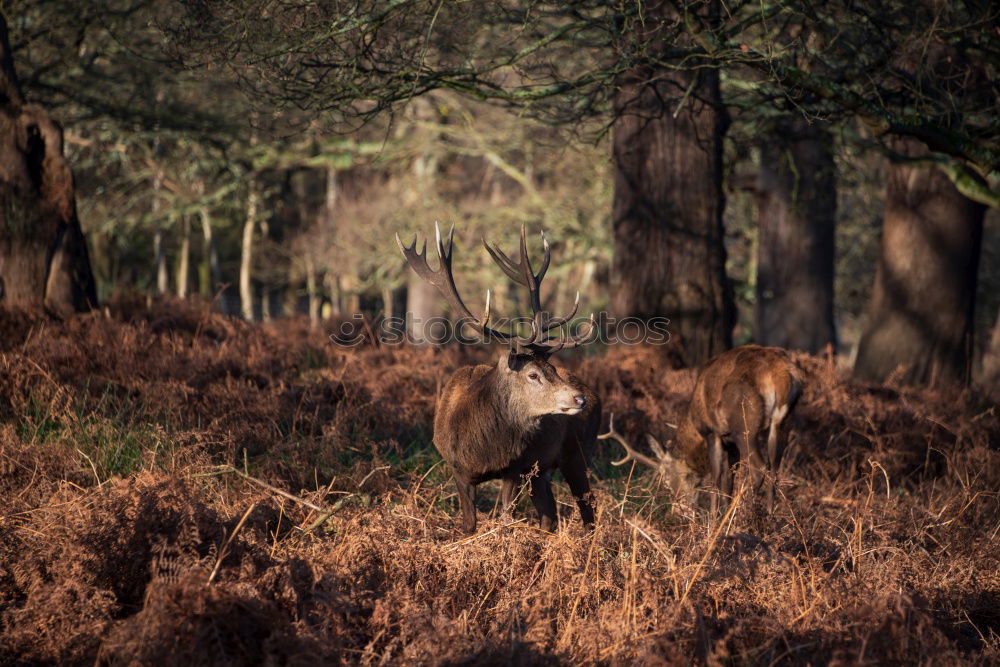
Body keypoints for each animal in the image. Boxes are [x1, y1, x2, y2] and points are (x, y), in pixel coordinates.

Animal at [398, 224, 600, 532]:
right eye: (533, 374)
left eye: (553, 369)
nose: (580, 399)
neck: (483, 450)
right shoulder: (457, 469)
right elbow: (469, 524)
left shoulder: (514, 468)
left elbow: (506, 518)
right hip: (541, 472)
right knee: (550, 513)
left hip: (577, 454)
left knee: (588, 510)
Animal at [600, 348, 804, 516]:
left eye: (665, 480)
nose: (677, 510)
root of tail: (781, 375)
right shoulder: (728, 440)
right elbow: (728, 479)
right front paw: (724, 512)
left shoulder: (712, 432)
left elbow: (715, 478)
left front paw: (714, 520)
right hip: (782, 422)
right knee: (775, 468)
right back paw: (770, 515)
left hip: (745, 424)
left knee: (759, 468)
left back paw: (749, 514)